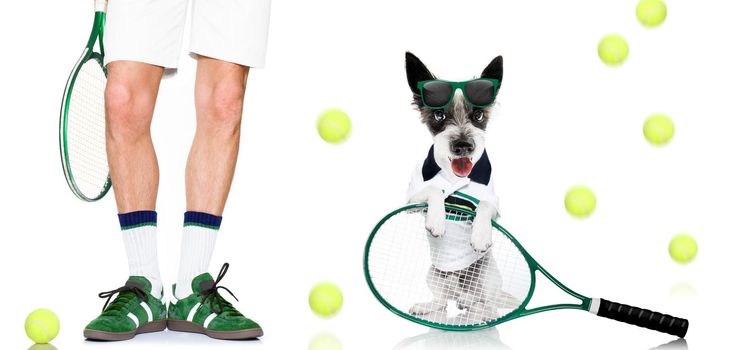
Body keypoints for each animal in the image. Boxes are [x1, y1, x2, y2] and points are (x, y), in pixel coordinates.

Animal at [406, 52, 508, 322]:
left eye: (478, 116)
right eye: (440, 116)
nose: (463, 146)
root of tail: (463, 292)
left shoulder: (496, 207)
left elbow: (485, 204)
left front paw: (480, 235)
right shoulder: (410, 201)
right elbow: (433, 190)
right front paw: (437, 220)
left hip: (487, 275)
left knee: (488, 307)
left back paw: (479, 314)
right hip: (434, 274)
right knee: (443, 302)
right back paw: (429, 306)